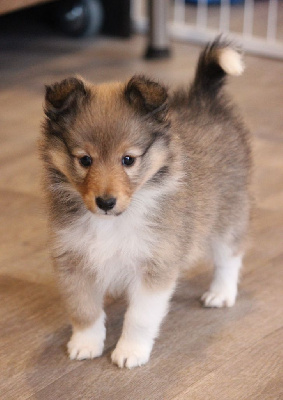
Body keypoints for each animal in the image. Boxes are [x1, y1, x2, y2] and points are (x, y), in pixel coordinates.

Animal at [40, 38, 253, 368]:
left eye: (128, 159)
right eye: (84, 160)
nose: (105, 202)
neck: (112, 222)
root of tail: (204, 101)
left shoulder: (155, 263)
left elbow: (139, 317)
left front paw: (130, 352)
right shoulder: (73, 260)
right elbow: (84, 308)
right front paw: (86, 344)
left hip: (227, 213)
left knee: (229, 256)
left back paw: (220, 294)